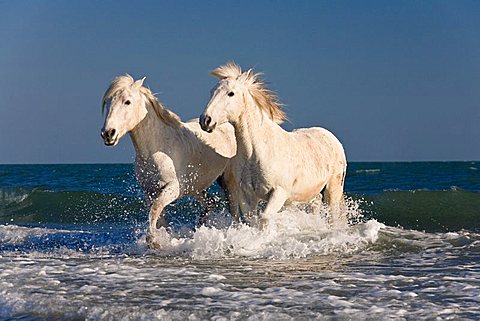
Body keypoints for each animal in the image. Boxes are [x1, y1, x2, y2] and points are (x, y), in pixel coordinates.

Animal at [101, 74, 236, 245]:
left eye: (127, 102)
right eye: (108, 102)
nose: (108, 133)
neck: (156, 150)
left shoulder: (172, 189)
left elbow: (155, 210)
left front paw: (154, 241)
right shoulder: (150, 192)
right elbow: (159, 217)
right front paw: (163, 238)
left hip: (227, 183)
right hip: (196, 187)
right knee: (210, 203)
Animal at [200, 62, 348, 226]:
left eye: (231, 93)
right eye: (212, 92)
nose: (205, 120)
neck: (257, 151)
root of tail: (332, 139)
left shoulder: (279, 193)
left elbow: (264, 218)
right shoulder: (247, 196)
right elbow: (251, 220)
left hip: (333, 190)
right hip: (311, 193)